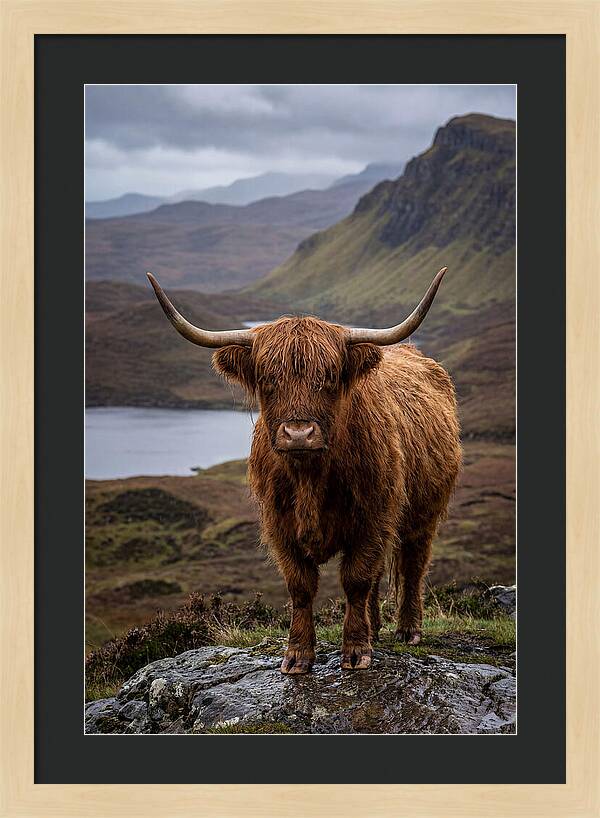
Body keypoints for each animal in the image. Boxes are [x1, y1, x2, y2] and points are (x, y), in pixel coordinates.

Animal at [147, 268, 461, 674]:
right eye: (267, 379)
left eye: (329, 377)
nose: (298, 433)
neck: (310, 477)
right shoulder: (280, 525)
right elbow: (301, 585)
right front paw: (298, 655)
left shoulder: (373, 518)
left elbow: (356, 579)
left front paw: (356, 651)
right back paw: (376, 629)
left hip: (424, 514)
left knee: (412, 565)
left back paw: (408, 630)